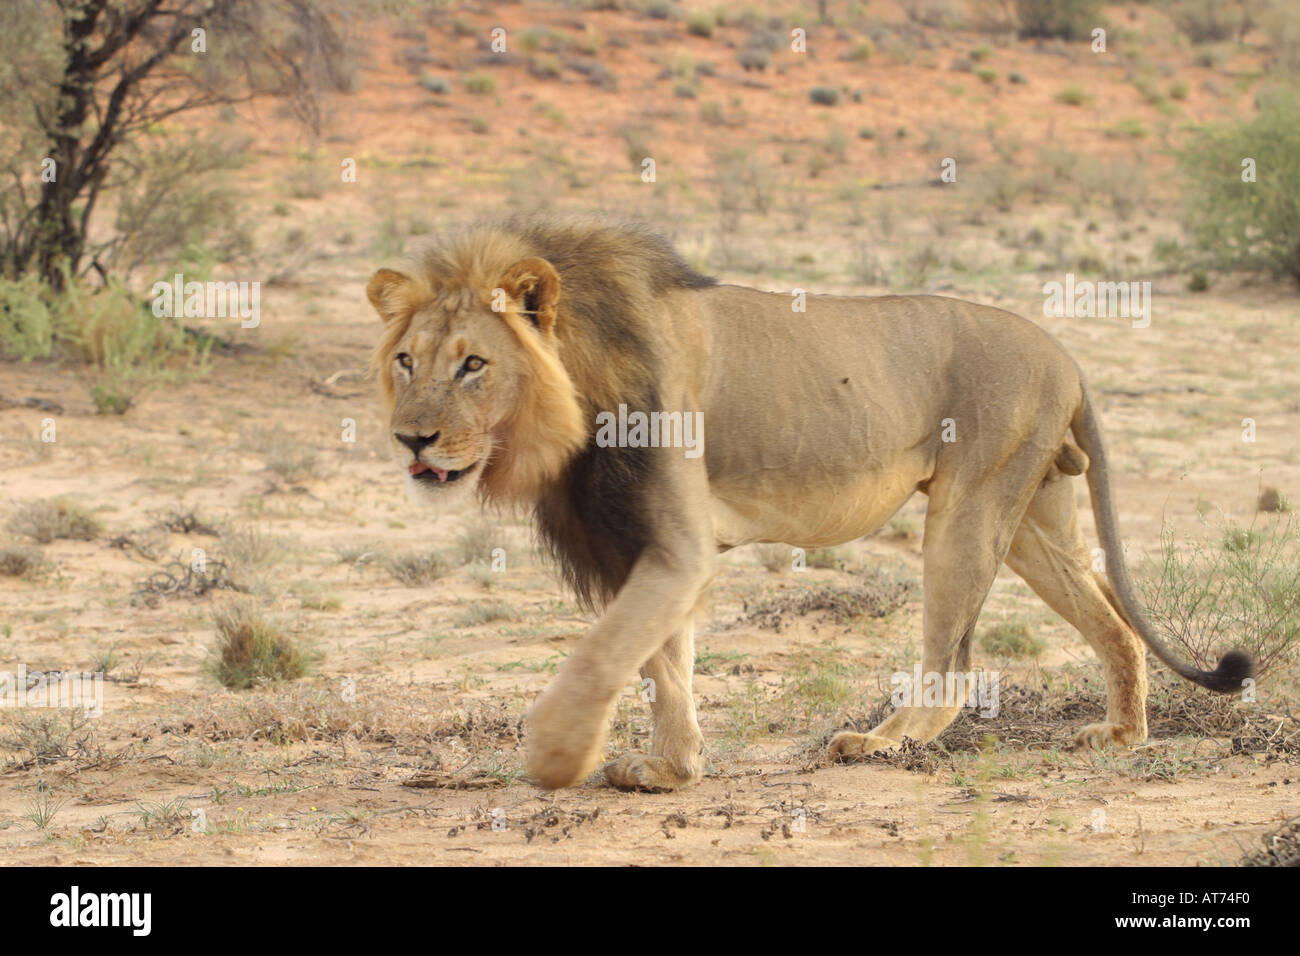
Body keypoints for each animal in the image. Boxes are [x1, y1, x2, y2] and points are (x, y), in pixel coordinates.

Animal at [366, 216, 1253, 791]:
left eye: (474, 364)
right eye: (407, 360)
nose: (411, 439)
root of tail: (1065, 351)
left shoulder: (678, 544)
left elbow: (604, 656)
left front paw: (557, 757)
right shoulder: (633, 547)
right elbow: (660, 662)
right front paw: (671, 768)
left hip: (970, 506)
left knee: (954, 661)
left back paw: (878, 744)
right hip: (1035, 515)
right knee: (1113, 623)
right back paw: (1122, 734)